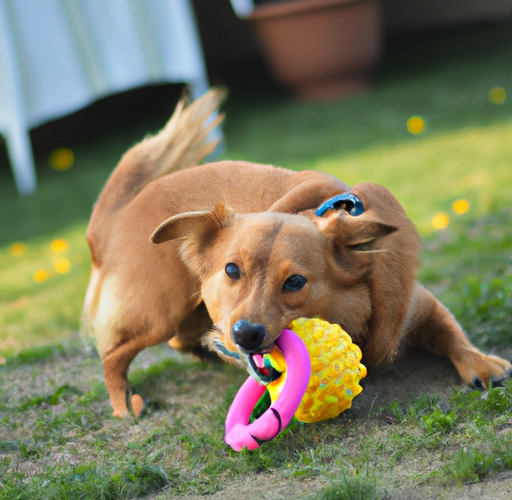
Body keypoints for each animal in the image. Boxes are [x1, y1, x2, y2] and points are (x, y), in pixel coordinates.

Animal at [83, 90, 508, 418]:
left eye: (295, 282)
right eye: (232, 270)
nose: (244, 334)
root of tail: (116, 214)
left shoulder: (417, 306)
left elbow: (451, 330)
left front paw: (483, 363)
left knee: (175, 341)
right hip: (158, 312)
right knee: (113, 354)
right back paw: (124, 404)